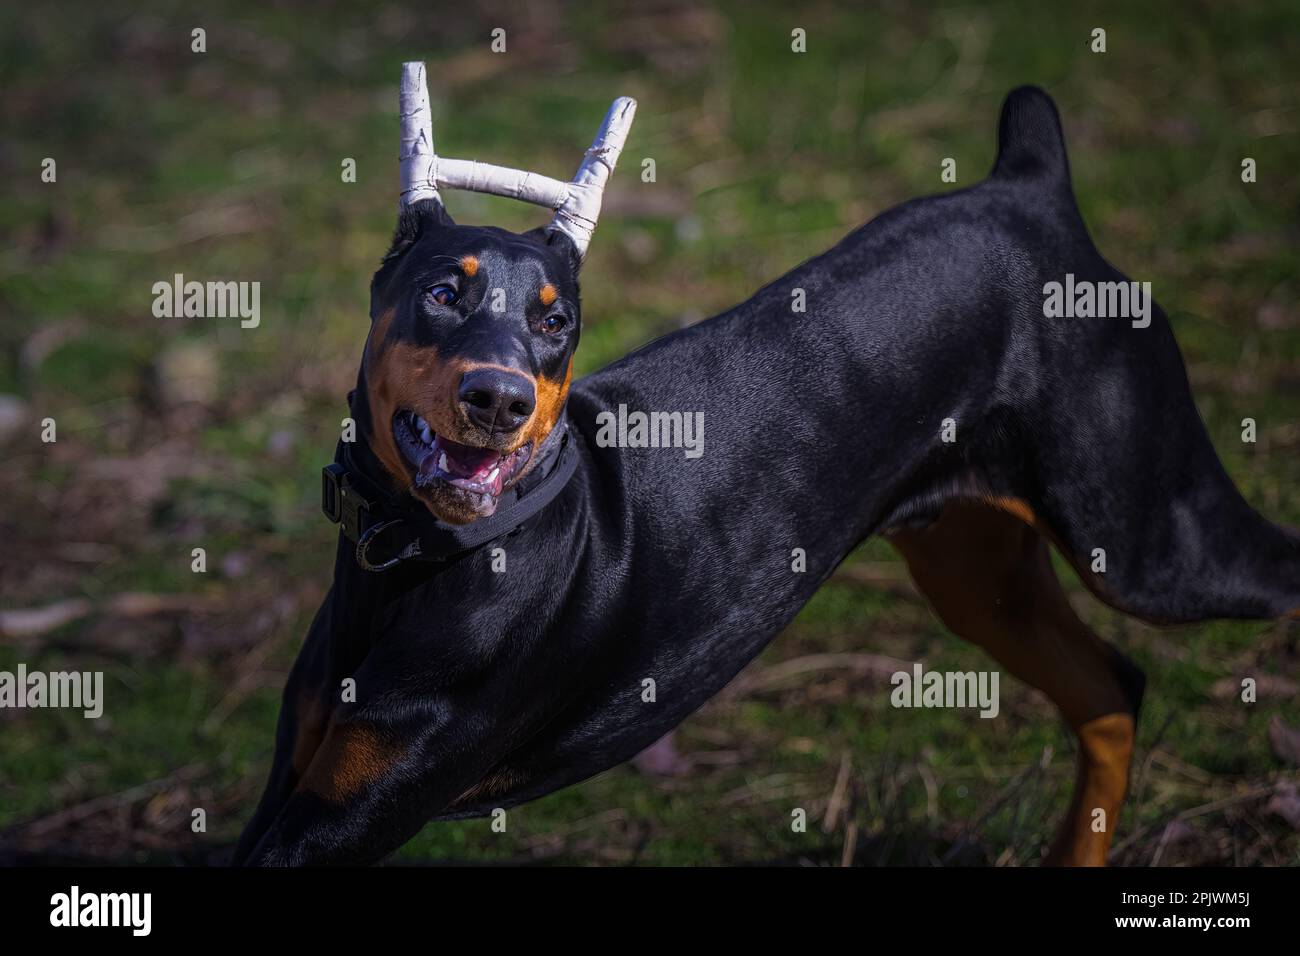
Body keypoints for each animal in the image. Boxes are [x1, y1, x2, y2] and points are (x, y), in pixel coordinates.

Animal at [233, 61, 1300, 868]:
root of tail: (1032, 188)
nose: (496, 400)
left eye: (555, 320)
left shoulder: (349, 815)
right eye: (441, 295)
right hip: (978, 572)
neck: (421, 557)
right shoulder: (302, 781)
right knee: (1112, 689)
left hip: (1148, 539)